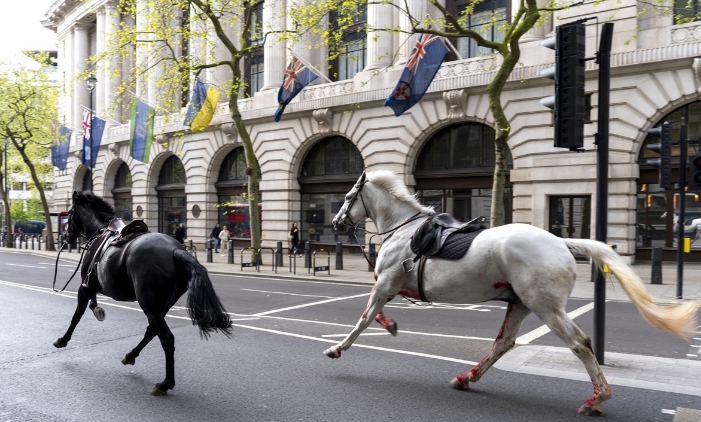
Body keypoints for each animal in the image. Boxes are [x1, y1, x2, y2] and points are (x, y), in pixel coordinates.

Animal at [55, 191, 230, 396]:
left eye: (70, 213)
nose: (65, 236)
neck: (100, 231)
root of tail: (176, 250)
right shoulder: (92, 287)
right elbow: (90, 305)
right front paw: (97, 310)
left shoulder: (85, 287)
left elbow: (76, 316)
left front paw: (63, 340)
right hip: (161, 306)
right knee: (151, 332)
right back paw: (130, 356)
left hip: (150, 305)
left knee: (166, 339)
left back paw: (165, 383)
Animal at [326, 170, 696, 418]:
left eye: (346, 197)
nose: (336, 223)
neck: (404, 230)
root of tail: (562, 242)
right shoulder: (390, 286)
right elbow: (376, 314)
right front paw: (390, 325)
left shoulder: (385, 283)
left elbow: (363, 319)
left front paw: (337, 348)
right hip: (520, 304)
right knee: (504, 343)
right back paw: (467, 377)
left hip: (546, 307)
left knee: (580, 344)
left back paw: (596, 399)